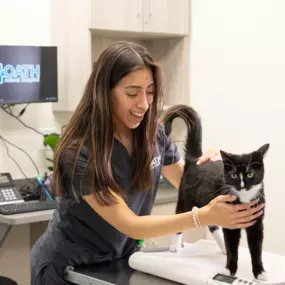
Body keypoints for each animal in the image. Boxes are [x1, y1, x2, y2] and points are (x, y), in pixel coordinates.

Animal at [161, 103, 270, 280]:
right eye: (233, 175)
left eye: (250, 174)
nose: (241, 184)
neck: (244, 198)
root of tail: (195, 160)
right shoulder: (229, 214)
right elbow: (232, 244)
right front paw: (229, 270)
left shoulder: (256, 219)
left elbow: (256, 247)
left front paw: (260, 272)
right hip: (186, 197)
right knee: (179, 216)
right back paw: (175, 246)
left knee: (213, 225)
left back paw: (223, 247)